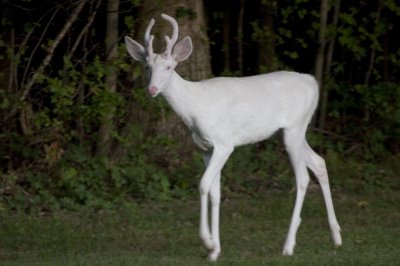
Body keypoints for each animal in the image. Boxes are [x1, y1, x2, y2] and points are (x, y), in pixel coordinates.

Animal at [124, 13, 340, 260]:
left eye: (169, 66)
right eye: (147, 66)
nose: (152, 89)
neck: (195, 107)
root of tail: (312, 83)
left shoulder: (224, 143)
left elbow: (203, 184)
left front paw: (208, 242)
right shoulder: (205, 148)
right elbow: (215, 193)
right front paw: (215, 250)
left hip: (295, 128)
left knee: (303, 177)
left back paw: (288, 245)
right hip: (288, 131)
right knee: (319, 162)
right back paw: (336, 237)